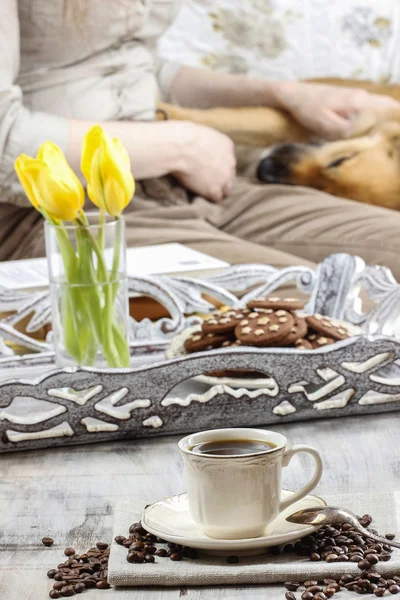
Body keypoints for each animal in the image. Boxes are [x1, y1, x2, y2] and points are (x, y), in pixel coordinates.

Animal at [158, 79, 400, 211]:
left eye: (329, 193)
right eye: (340, 161)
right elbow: (218, 118)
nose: (264, 170)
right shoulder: (305, 118)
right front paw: (160, 111)